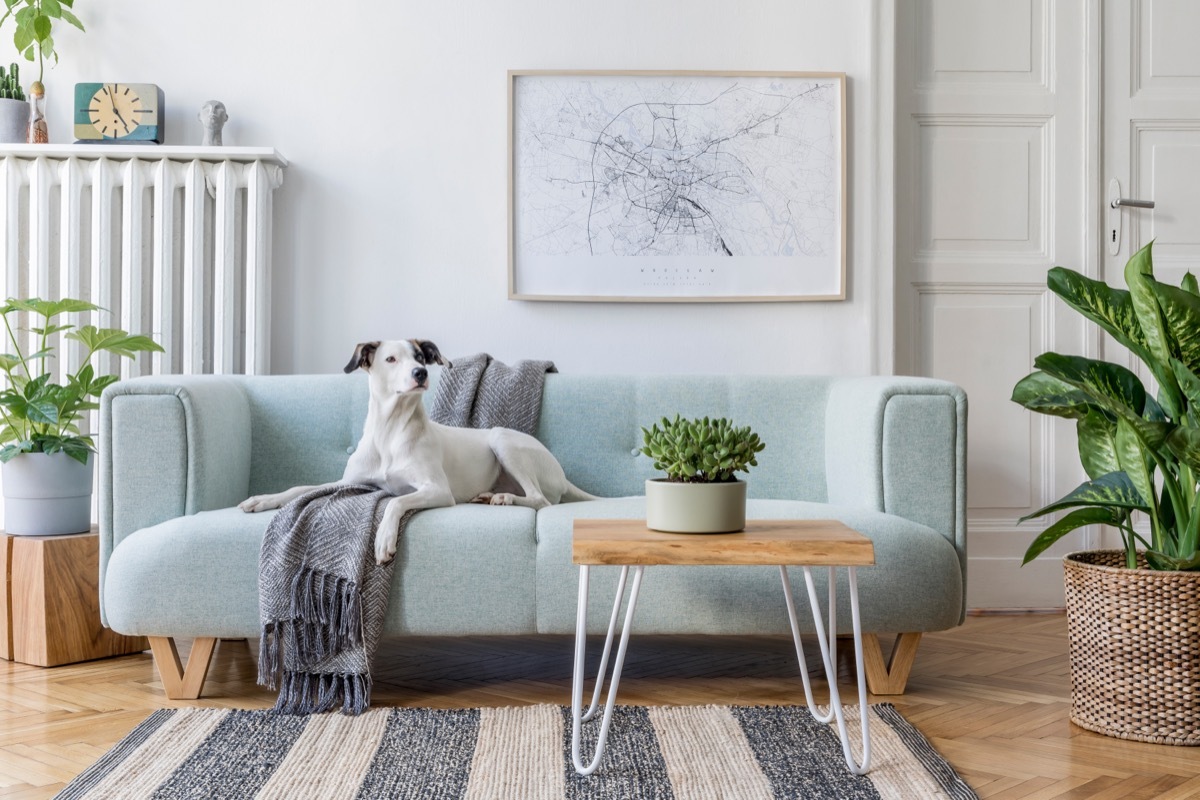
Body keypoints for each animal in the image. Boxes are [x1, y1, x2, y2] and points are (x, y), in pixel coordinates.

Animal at [238, 340, 595, 566]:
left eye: (420, 358)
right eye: (390, 359)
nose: (420, 374)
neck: (390, 431)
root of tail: (562, 475)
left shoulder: (436, 489)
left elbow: (395, 502)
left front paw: (384, 540)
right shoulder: (352, 482)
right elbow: (301, 488)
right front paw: (262, 499)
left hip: (502, 439)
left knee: (540, 499)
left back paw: (503, 498)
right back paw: (490, 495)